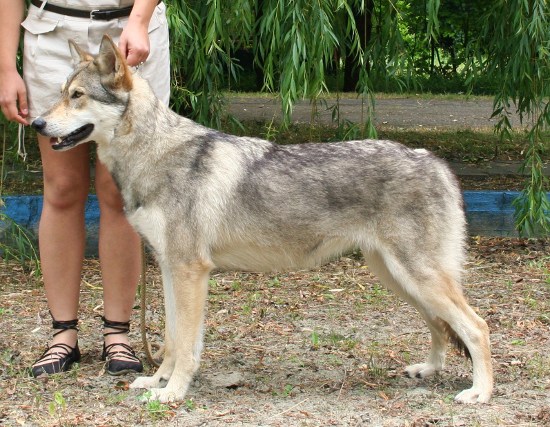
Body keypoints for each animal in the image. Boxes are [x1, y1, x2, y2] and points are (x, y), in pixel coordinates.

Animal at [31, 34, 496, 404]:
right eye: (61, 92)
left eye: (77, 96)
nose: (35, 122)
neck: (153, 152)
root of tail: (434, 160)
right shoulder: (169, 269)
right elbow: (173, 340)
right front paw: (157, 381)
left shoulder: (190, 272)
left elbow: (185, 345)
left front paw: (174, 392)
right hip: (399, 279)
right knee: (441, 326)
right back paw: (428, 370)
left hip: (416, 277)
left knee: (476, 326)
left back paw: (479, 393)